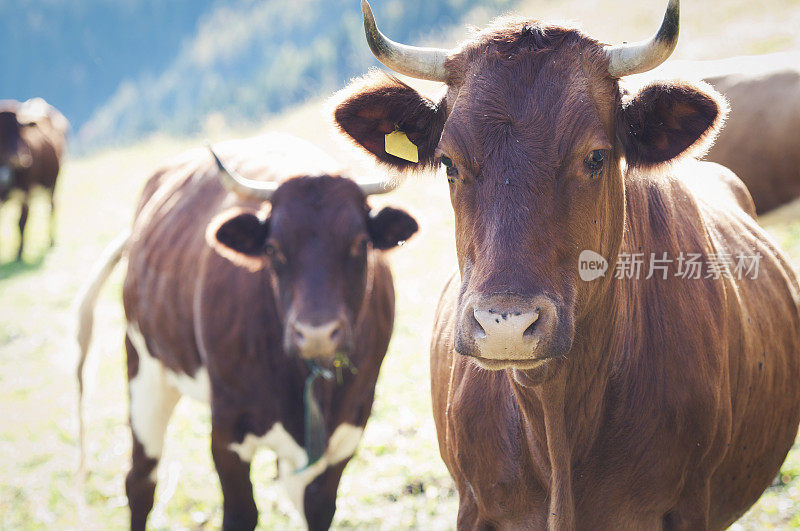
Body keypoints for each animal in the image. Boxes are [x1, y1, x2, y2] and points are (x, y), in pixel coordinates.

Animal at [0, 97, 68, 262]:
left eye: (20, 129)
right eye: (1, 132)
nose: (18, 157)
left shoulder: (25, 192)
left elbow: (21, 222)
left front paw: (19, 254)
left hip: (53, 181)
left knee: (52, 206)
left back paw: (51, 242)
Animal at [75, 134, 418, 531]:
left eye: (360, 243)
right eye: (272, 248)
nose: (316, 333)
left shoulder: (349, 428)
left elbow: (318, 509)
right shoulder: (226, 430)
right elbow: (241, 513)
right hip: (144, 368)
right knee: (140, 481)